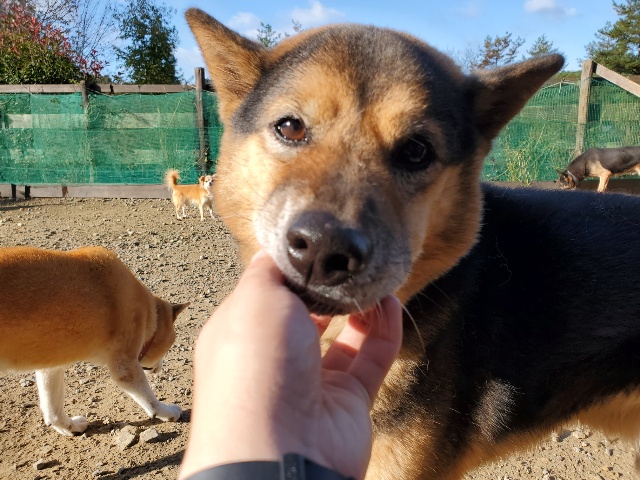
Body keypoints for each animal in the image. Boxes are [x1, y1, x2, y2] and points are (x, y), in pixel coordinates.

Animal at [0, 246, 189, 436]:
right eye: (168, 347)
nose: (160, 368)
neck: (149, 313)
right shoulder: (125, 365)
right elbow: (150, 400)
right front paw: (167, 412)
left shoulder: (51, 364)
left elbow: (53, 409)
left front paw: (69, 426)